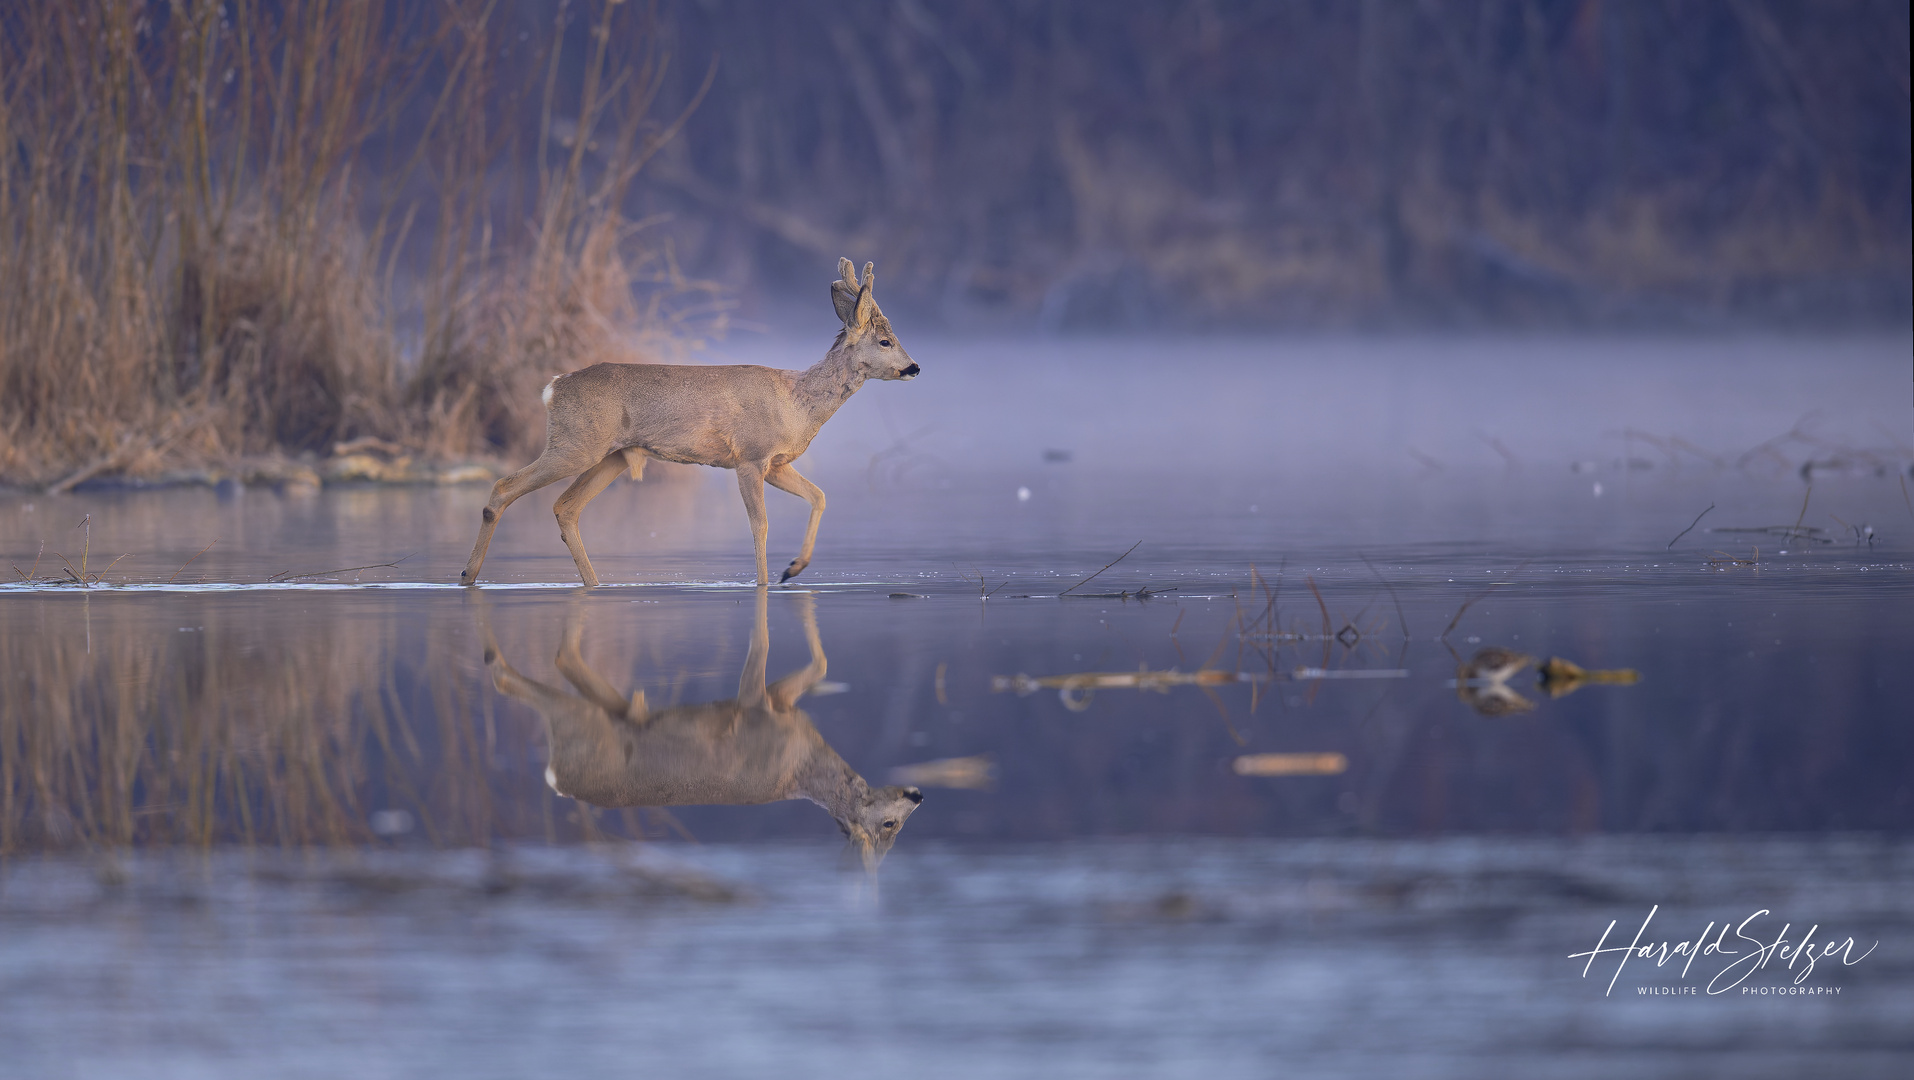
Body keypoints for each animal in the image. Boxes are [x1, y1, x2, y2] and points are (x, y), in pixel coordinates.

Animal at [459, 258, 914, 585]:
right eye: (885, 341)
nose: (914, 367)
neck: (797, 404)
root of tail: (554, 386)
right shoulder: (749, 457)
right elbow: (760, 525)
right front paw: (765, 583)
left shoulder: (775, 463)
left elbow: (819, 496)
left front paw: (794, 568)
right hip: (574, 444)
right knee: (504, 486)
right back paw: (468, 575)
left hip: (612, 455)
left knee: (565, 507)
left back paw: (593, 584)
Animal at [478, 589, 926, 869]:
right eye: (889, 826)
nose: (918, 795)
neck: (802, 764)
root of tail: (559, 781)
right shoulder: (757, 706)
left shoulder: (782, 703)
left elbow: (820, 668)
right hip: (580, 723)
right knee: (524, 676)